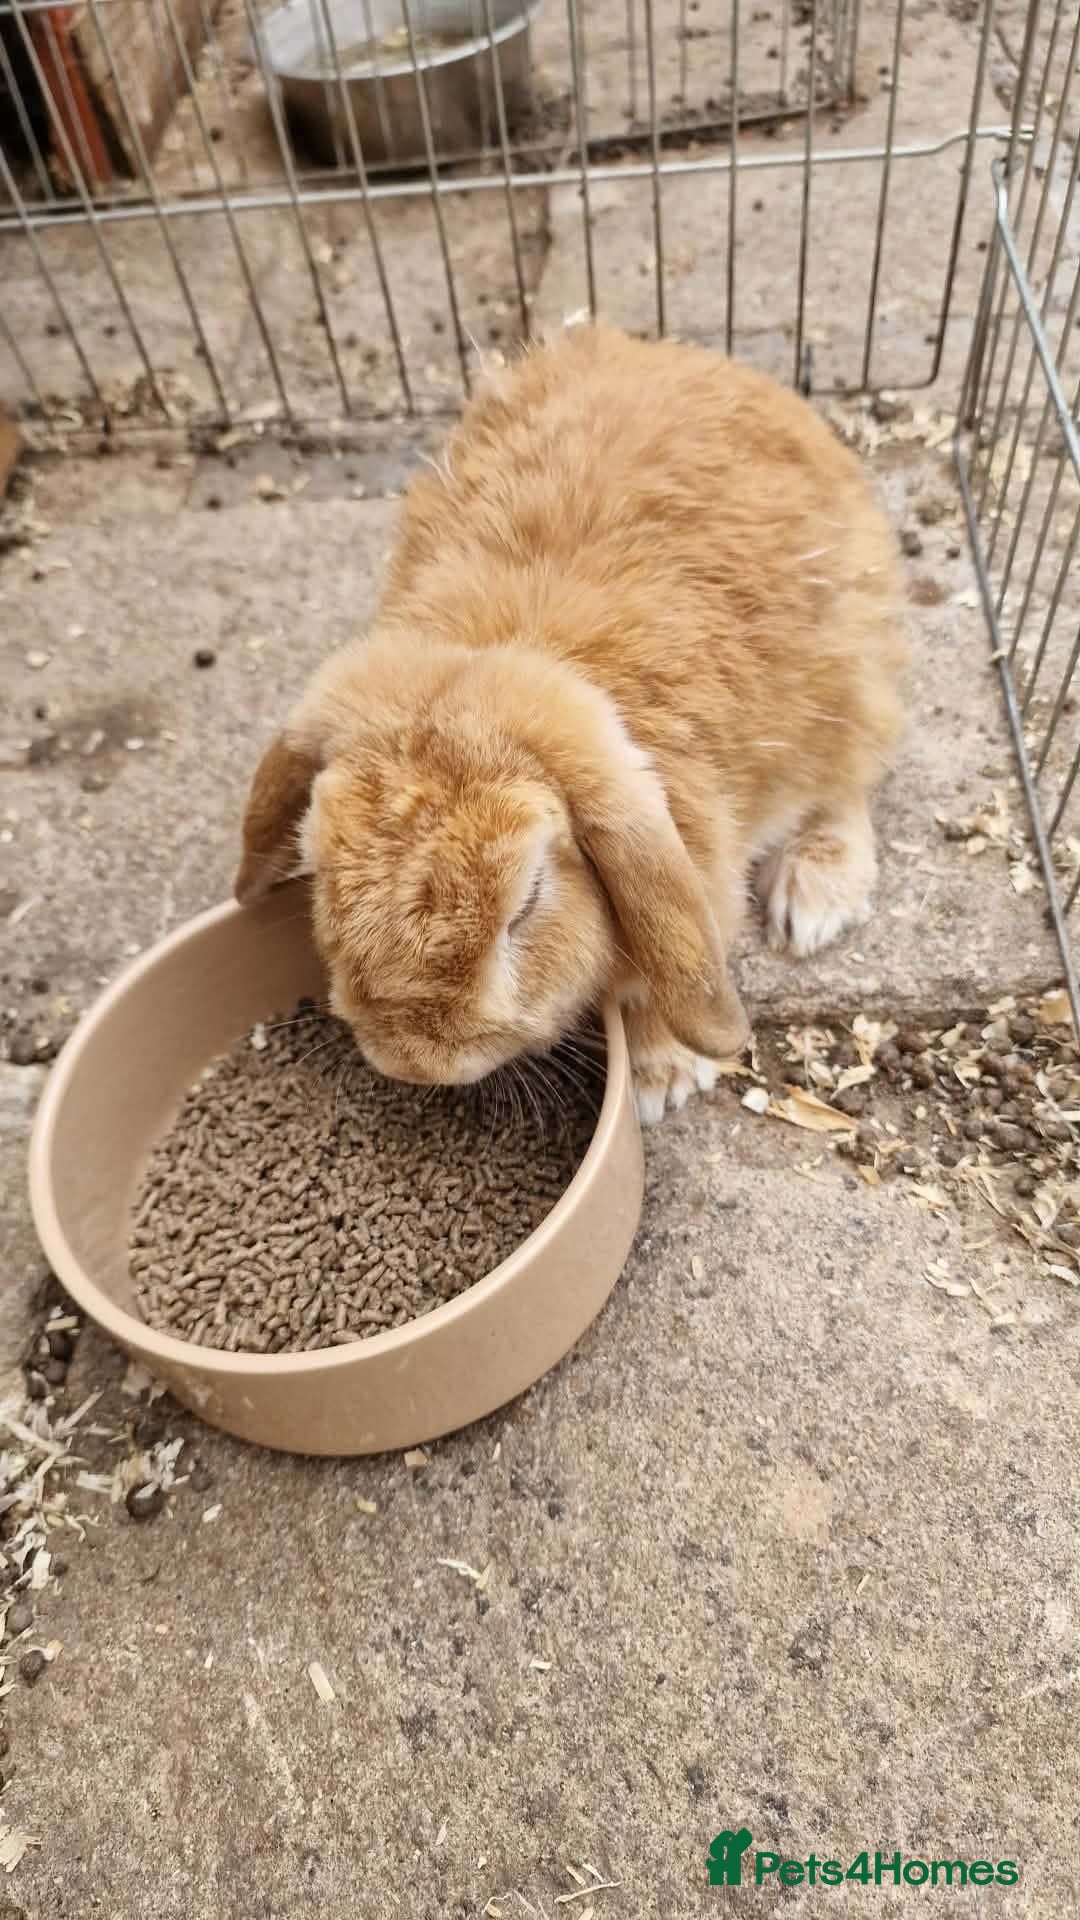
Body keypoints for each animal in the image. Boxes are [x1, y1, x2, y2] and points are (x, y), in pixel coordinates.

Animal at [235, 323, 905, 1124]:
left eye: (526, 903)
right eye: (319, 868)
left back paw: (815, 895)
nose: (416, 1063)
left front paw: (660, 1081)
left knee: (848, 779)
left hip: (846, 679)